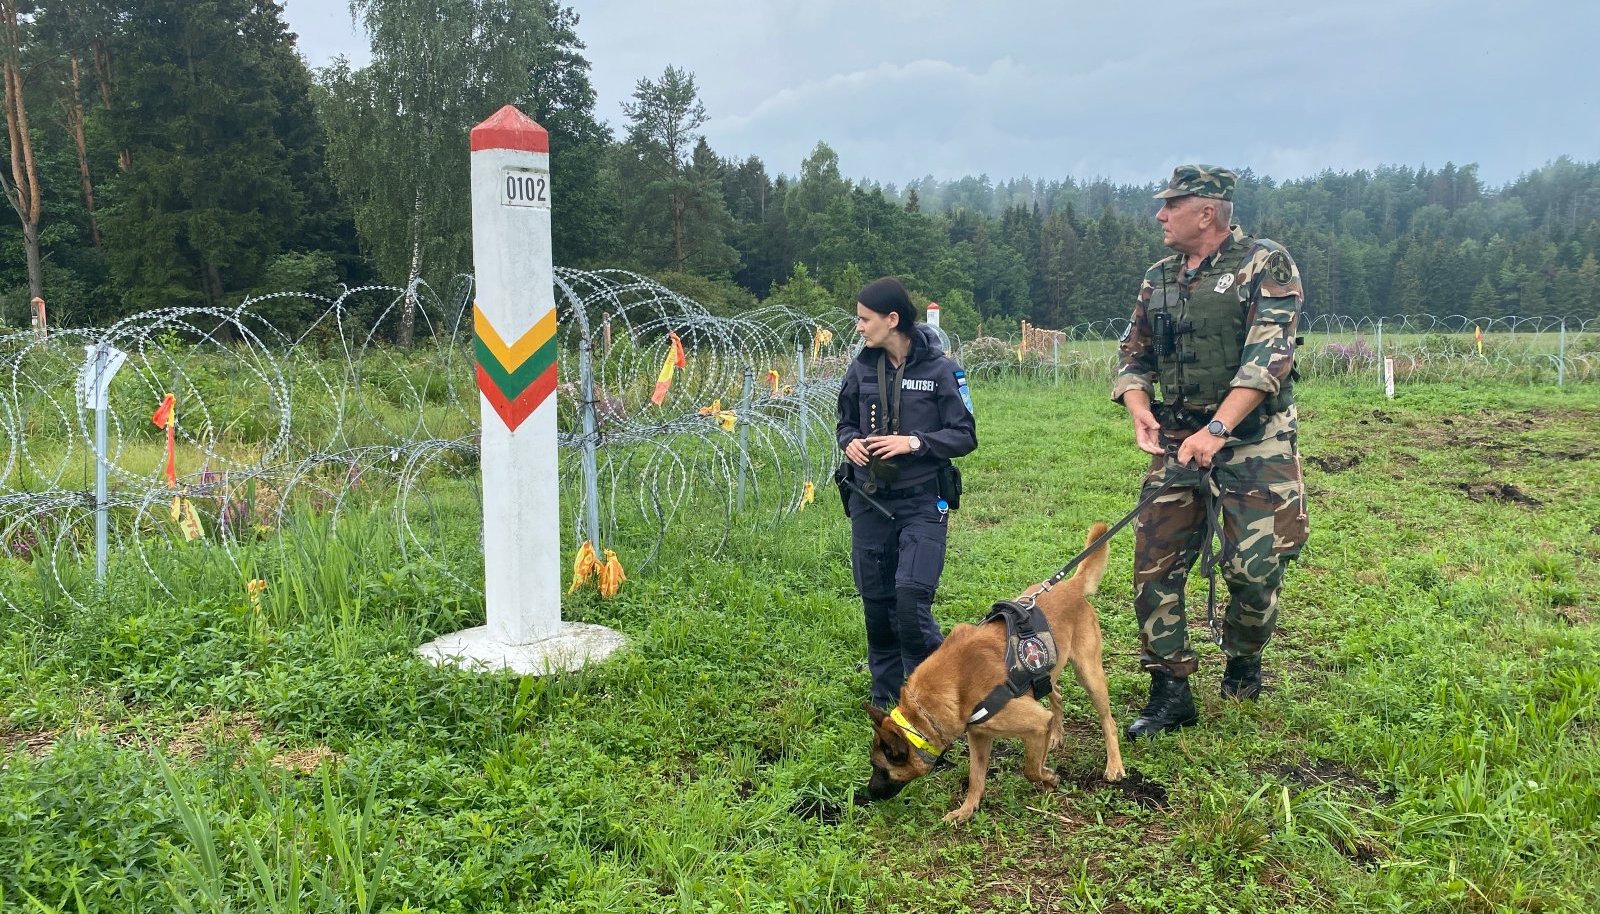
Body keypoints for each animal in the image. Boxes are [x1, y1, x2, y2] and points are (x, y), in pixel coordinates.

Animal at [864, 521, 1126, 819]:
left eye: (880, 768)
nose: (866, 795)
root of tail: (1071, 585)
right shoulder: (979, 735)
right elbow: (976, 777)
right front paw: (966, 810)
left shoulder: (1036, 723)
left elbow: (1031, 768)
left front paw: (1049, 778)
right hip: (1047, 673)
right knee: (1057, 696)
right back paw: (1058, 734)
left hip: (1089, 675)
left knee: (1108, 721)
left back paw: (1114, 765)